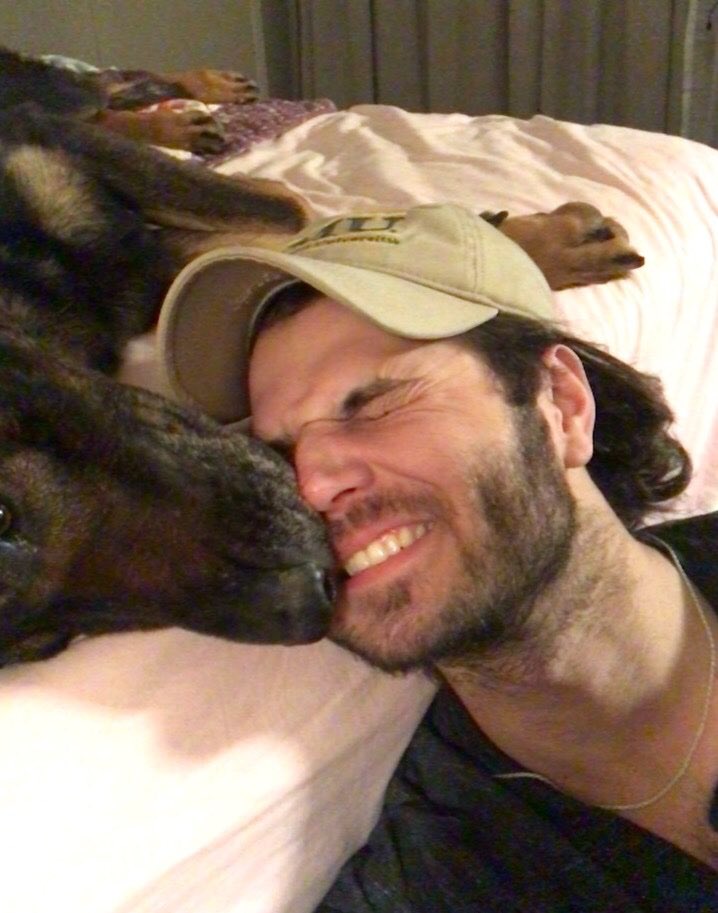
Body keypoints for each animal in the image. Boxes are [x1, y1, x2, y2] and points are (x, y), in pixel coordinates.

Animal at [0, 101, 643, 667]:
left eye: (2, 517)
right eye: (49, 643)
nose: (312, 601)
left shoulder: (66, 162)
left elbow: (292, 216)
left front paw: (531, 242)